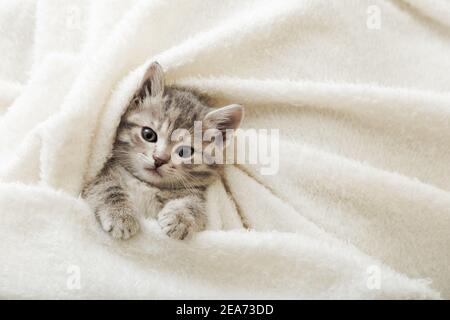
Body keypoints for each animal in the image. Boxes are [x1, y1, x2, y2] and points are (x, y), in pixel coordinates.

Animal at [81, 61, 243, 239]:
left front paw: (181, 217)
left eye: (185, 152)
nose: (159, 159)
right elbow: (105, 186)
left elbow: (195, 203)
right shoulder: (98, 176)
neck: (146, 184)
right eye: (148, 134)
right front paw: (120, 215)